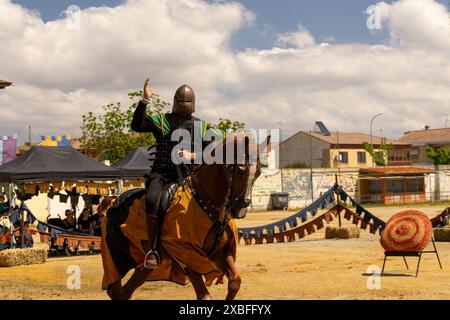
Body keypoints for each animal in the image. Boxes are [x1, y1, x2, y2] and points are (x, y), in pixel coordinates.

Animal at [101, 134, 264, 300]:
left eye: (258, 173)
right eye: (241, 169)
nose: (241, 208)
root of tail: (112, 202)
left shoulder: (223, 253)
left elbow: (235, 282)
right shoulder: (187, 255)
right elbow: (204, 295)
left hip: (144, 266)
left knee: (126, 291)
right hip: (117, 260)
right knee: (116, 290)